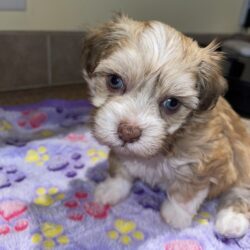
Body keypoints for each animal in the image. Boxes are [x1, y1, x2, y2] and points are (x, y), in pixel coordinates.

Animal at [82, 14, 250, 237]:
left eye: (172, 103)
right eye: (115, 81)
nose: (128, 132)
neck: (164, 147)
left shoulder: (211, 160)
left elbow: (188, 190)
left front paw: (176, 215)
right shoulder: (120, 151)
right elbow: (120, 169)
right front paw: (111, 189)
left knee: (240, 192)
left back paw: (231, 221)